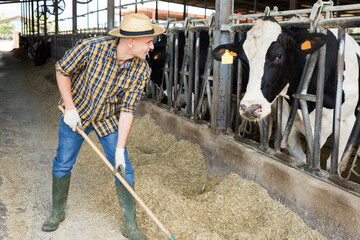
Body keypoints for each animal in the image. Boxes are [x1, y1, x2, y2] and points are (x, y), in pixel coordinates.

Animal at [211, 16, 360, 167]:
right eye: (244, 60)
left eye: (278, 56)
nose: (250, 109)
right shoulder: (286, 120)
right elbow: (298, 157)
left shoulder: (347, 121)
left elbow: (331, 164)